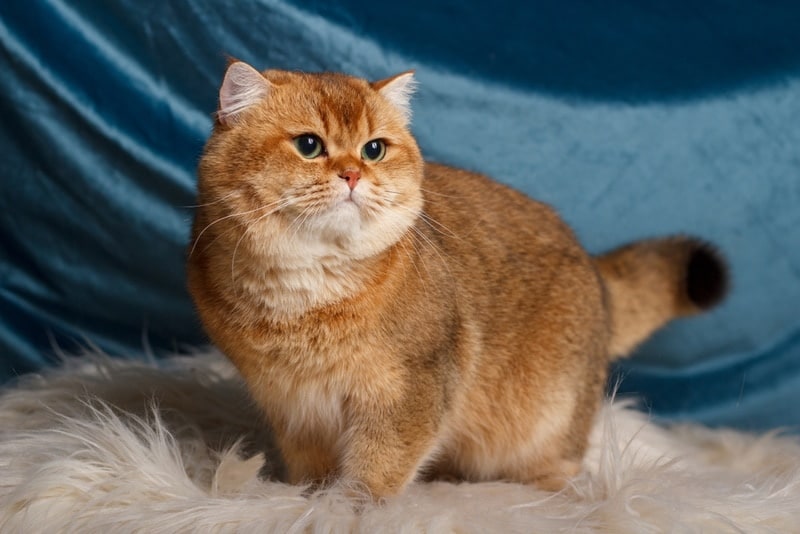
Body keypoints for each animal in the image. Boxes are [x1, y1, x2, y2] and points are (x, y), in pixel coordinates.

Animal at [186, 62, 724, 502]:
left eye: (374, 149)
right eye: (308, 145)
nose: (353, 174)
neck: (305, 292)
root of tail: (590, 263)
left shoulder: (412, 391)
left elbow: (379, 465)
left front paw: (347, 507)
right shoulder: (291, 405)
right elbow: (308, 468)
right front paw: (304, 499)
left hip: (548, 415)